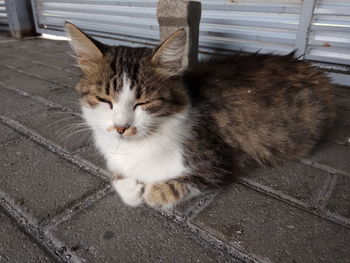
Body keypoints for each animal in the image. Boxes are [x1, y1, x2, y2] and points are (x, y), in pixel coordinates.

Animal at [64, 22, 334, 208]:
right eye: (104, 100)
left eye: (144, 102)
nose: (121, 127)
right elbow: (121, 181)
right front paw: (132, 186)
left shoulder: (217, 163)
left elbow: (165, 189)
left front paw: (148, 191)